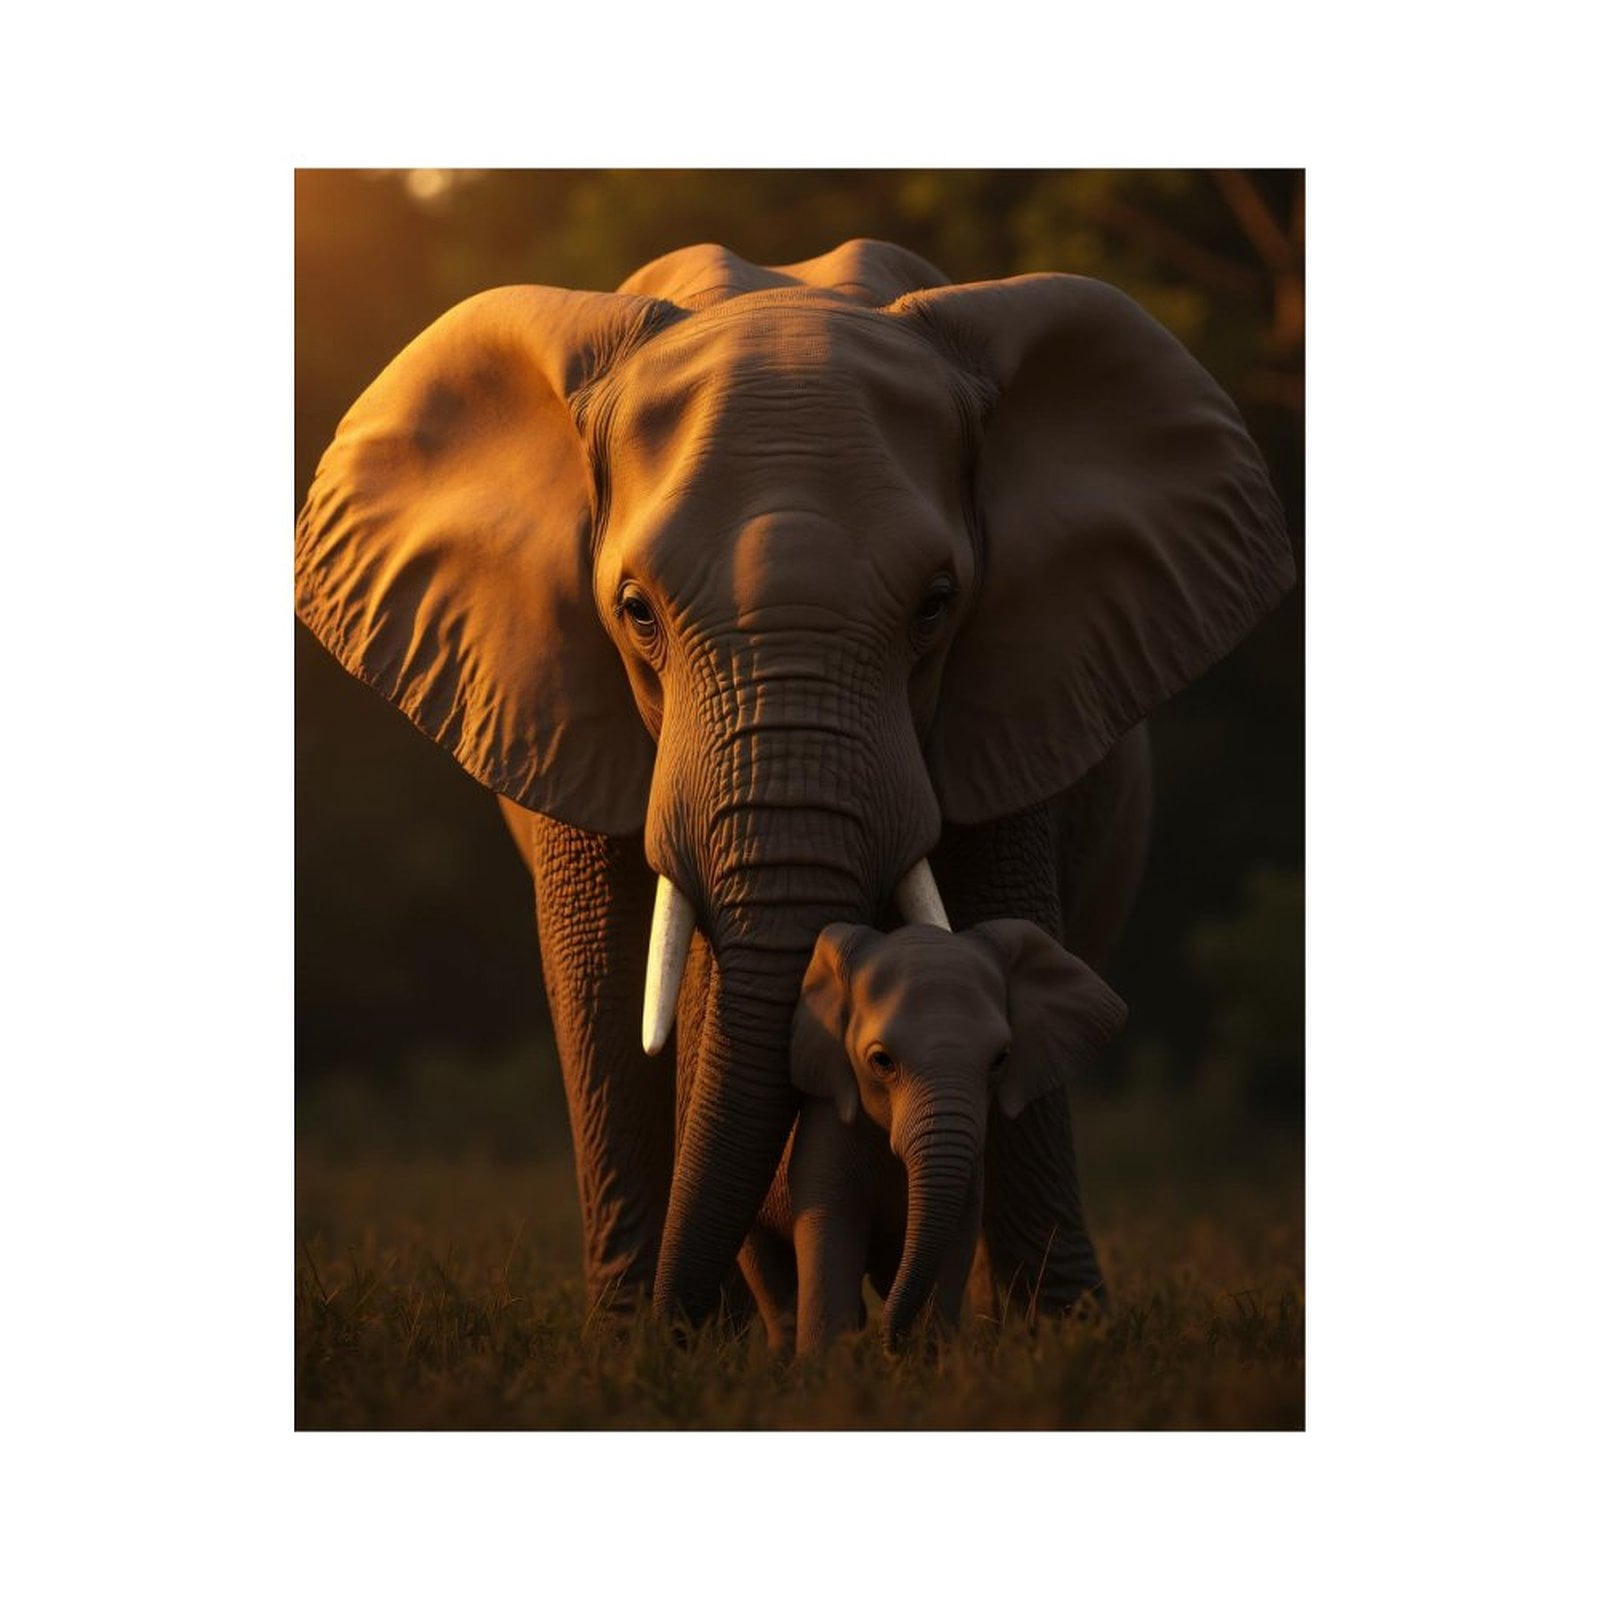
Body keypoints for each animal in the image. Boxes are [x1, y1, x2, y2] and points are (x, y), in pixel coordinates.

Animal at [739, 919, 1127, 1355]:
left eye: (1001, 1059)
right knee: (770, 1276)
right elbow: (831, 1223)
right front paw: (825, 1366)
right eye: (881, 1061)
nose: (887, 1343)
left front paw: (931, 1359)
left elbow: (954, 1237)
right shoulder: (828, 1125)